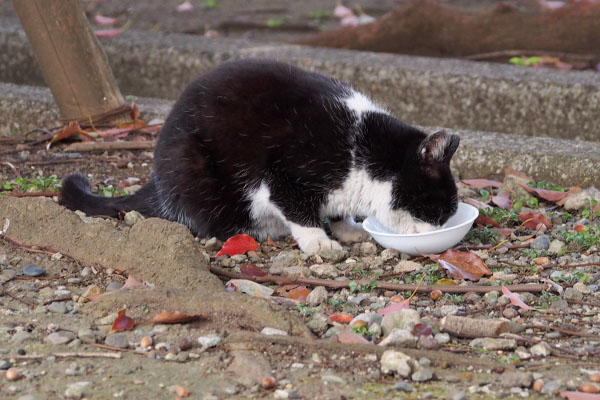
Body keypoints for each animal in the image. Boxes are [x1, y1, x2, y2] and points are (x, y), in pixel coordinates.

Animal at [61, 59, 460, 253]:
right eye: (439, 209)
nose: (443, 231)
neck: (361, 153)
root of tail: (156, 180)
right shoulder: (282, 173)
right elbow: (298, 209)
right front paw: (318, 241)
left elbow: (337, 209)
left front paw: (347, 228)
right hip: (192, 164)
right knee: (213, 221)